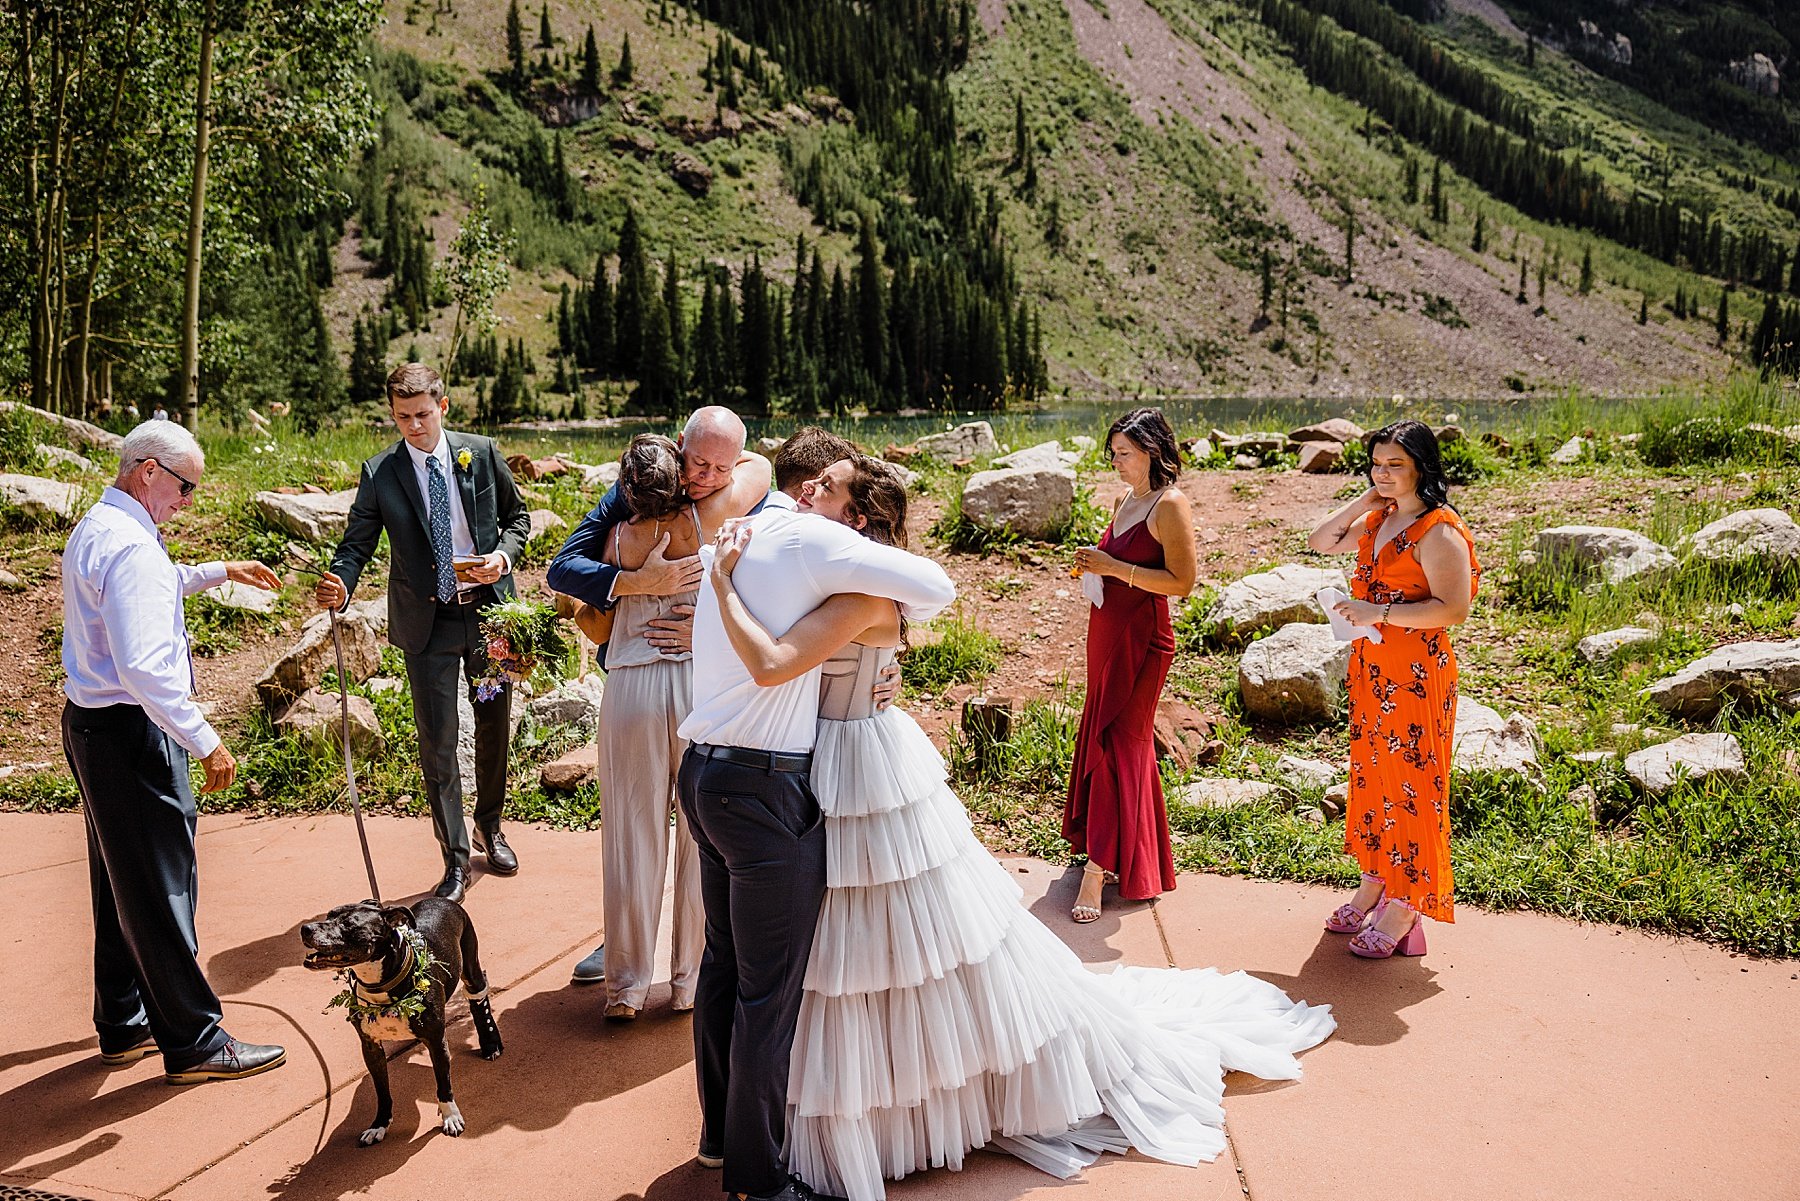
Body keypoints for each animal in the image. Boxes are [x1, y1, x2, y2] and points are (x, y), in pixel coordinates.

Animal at [298, 900, 504, 1145]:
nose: (305, 928)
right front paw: (379, 1125)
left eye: (348, 924)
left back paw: (490, 1042)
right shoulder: (371, 1048)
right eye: (329, 915)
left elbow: (444, 1083)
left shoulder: (437, 1042)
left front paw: (451, 1116)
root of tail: (440, 898)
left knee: (477, 994)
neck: (381, 988)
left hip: (470, 962)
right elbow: (382, 1092)